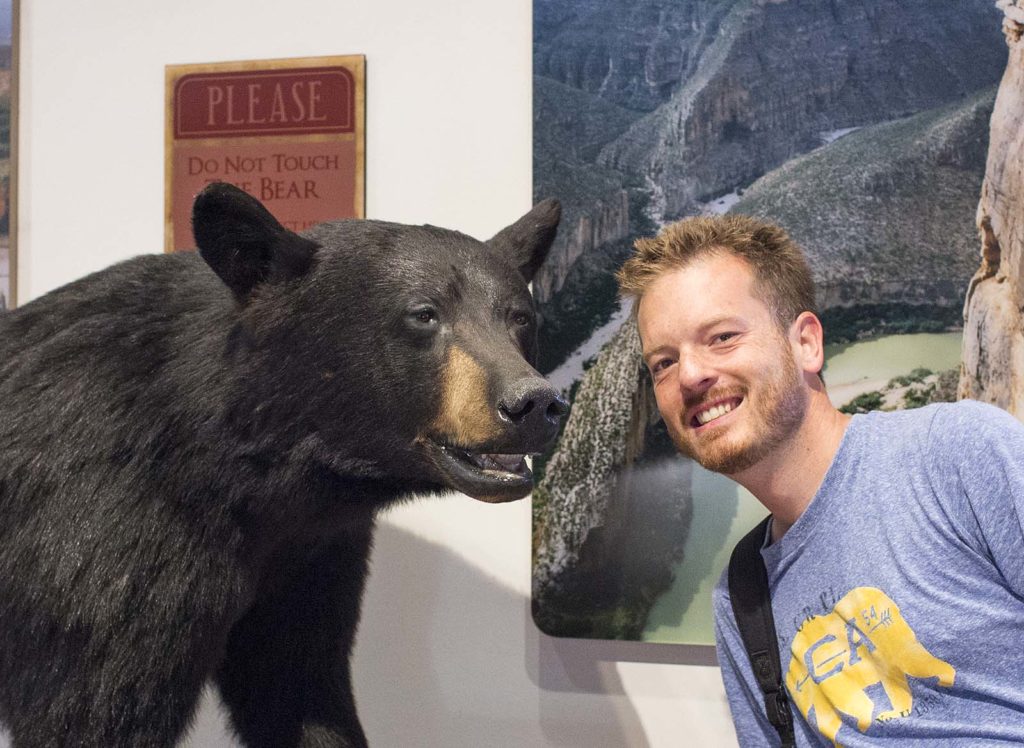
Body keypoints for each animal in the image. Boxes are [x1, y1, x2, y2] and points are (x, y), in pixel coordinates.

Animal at [0, 182, 569, 745]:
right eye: (424, 313)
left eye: (520, 317)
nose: (534, 403)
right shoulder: (104, 554)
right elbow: (97, 704)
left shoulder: (309, 559)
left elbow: (297, 683)